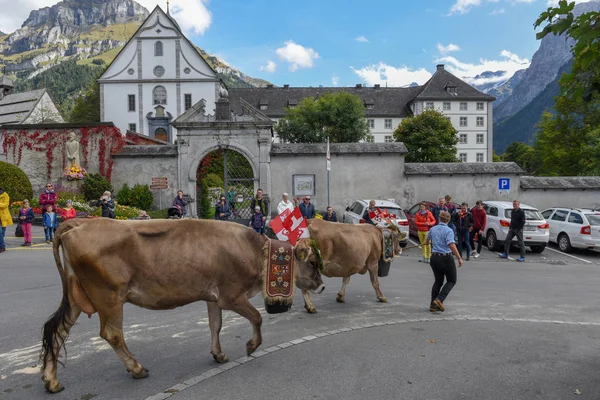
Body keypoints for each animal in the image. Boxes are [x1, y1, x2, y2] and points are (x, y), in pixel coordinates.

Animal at [41, 217, 324, 392]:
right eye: (312, 263)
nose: (321, 285)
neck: (255, 251)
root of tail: (80, 223)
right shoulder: (231, 295)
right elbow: (257, 317)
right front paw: (252, 346)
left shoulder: (213, 296)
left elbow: (215, 325)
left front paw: (218, 354)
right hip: (108, 296)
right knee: (112, 334)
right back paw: (137, 368)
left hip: (78, 297)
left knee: (58, 330)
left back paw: (51, 380)